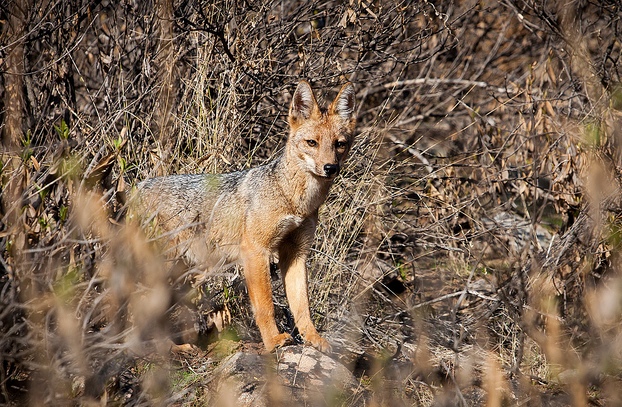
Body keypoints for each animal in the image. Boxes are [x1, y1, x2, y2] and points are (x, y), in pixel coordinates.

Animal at [135, 80, 356, 354]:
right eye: (312, 143)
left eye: (339, 144)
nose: (330, 168)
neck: (293, 198)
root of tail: (135, 187)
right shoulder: (255, 251)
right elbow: (265, 306)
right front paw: (273, 341)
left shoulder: (296, 253)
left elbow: (302, 307)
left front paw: (314, 339)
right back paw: (166, 348)